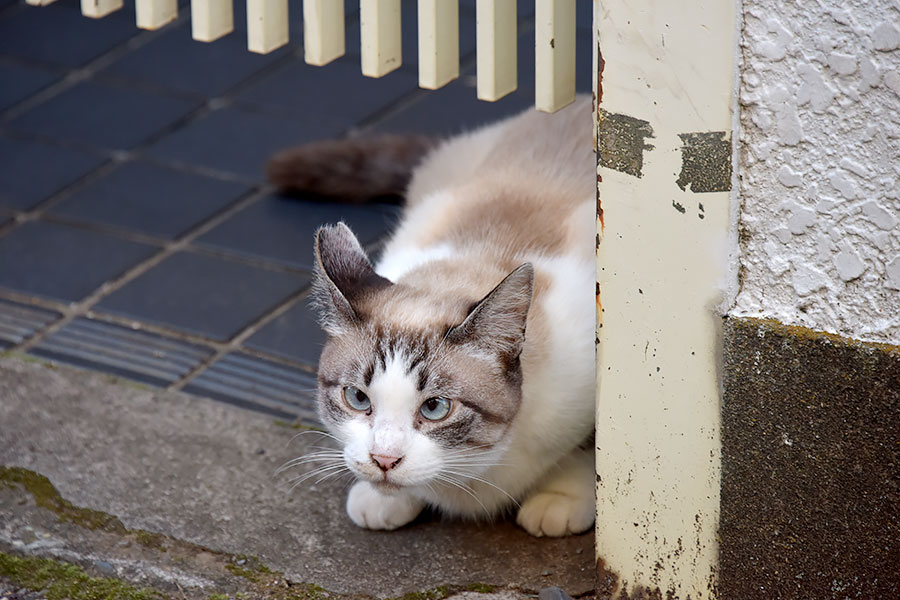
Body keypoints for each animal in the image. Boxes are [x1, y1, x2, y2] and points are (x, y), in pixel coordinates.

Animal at [274, 96, 596, 536]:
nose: (384, 460)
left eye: (435, 408)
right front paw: (381, 499)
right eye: (358, 398)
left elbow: (590, 448)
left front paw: (562, 497)